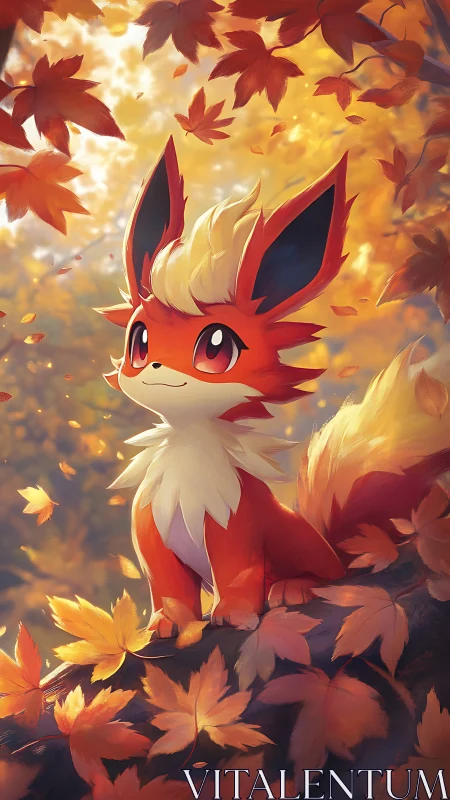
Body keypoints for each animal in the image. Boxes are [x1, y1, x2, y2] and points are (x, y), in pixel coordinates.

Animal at [97, 137, 450, 638]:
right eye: (139, 341)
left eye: (216, 347)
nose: (157, 367)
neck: (187, 446)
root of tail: (341, 551)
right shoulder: (152, 532)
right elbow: (168, 587)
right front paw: (166, 624)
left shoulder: (236, 527)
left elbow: (237, 573)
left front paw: (235, 614)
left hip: (302, 546)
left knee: (321, 575)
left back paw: (293, 588)